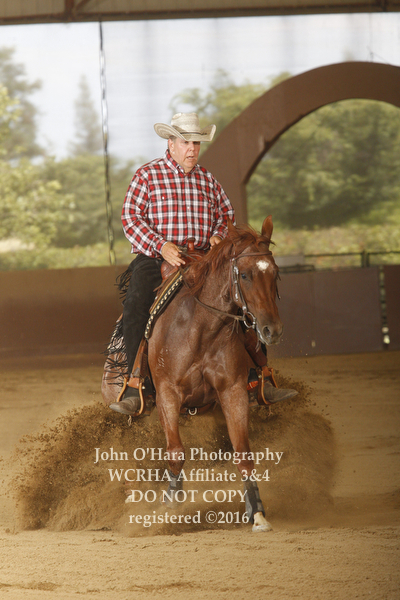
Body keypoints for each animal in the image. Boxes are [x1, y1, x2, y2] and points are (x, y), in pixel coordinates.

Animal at [103, 216, 283, 532]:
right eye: (244, 275)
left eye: (275, 273)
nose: (271, 330)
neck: (201, 326)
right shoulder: (168, 394)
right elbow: (175, 451)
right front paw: (172, 504)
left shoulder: (233, 390)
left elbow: (243, 451)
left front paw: (257, 511)